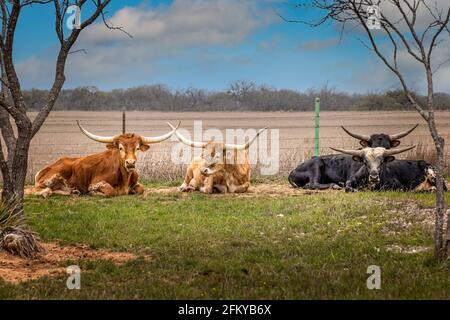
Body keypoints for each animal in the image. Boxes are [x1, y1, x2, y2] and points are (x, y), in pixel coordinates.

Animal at [26, 122, 179, 198]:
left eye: (137, 148)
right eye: (120, 148)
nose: (130, 163)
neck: (124, 178)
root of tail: (43, 170)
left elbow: (141, 189)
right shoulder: (96, 183)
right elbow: (111, 192)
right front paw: (94, 193)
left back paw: (73, 192)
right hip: (51, 177)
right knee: (34, 189)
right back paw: (46, 193)